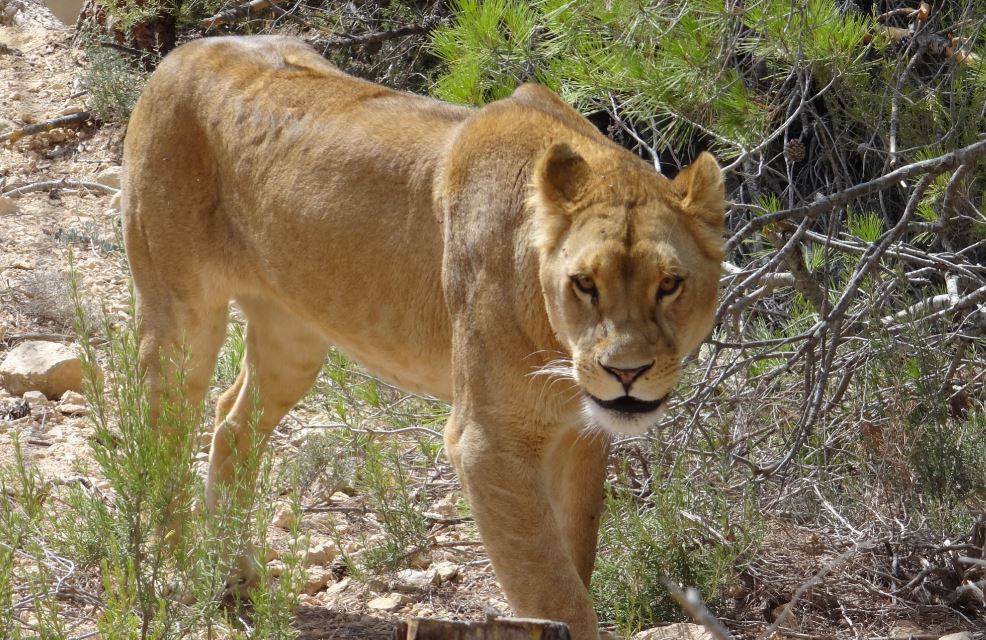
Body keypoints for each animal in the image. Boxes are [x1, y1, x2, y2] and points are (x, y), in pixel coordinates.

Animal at [123, 35, 725, 640]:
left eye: (669, 284)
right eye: (585, 283)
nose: (627, 372)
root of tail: (182, 54)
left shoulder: (580, 434)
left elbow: (575, 556)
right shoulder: (488, 444)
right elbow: (555, 591)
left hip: (293, 334)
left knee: (231, 421)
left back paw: (233, 575)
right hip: (179, 314)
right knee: (161, 441)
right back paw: (177, 570)